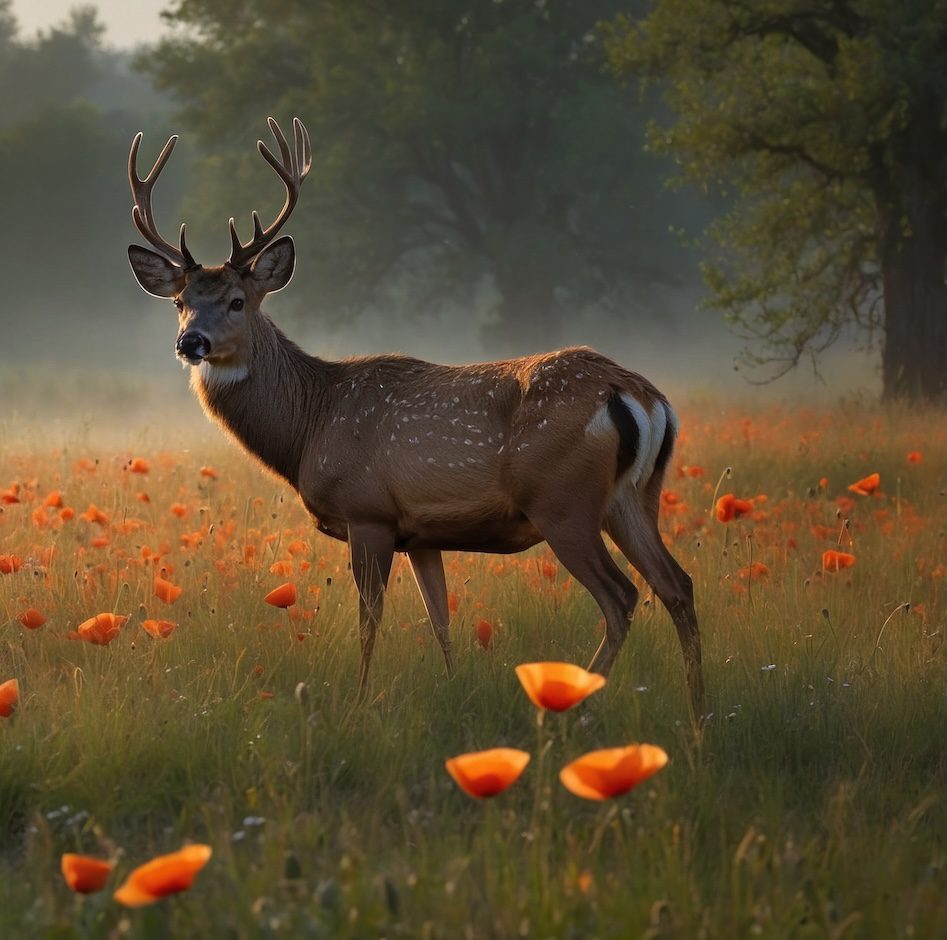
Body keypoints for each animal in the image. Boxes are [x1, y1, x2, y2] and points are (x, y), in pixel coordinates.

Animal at [127, 117, 704, 716]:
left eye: (237, 300)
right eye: (180, 302)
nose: (191, 341)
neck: (310, 424)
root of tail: (636, 393)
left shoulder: (368, 512)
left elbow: (370, 620)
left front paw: (358, 702)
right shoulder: (422, 532)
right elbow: (440, 620)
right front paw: (452, 687)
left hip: (562, 501)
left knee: (622, 596)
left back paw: (576, 703)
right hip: (633, 497)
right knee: (677, 585)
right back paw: (698, 710)